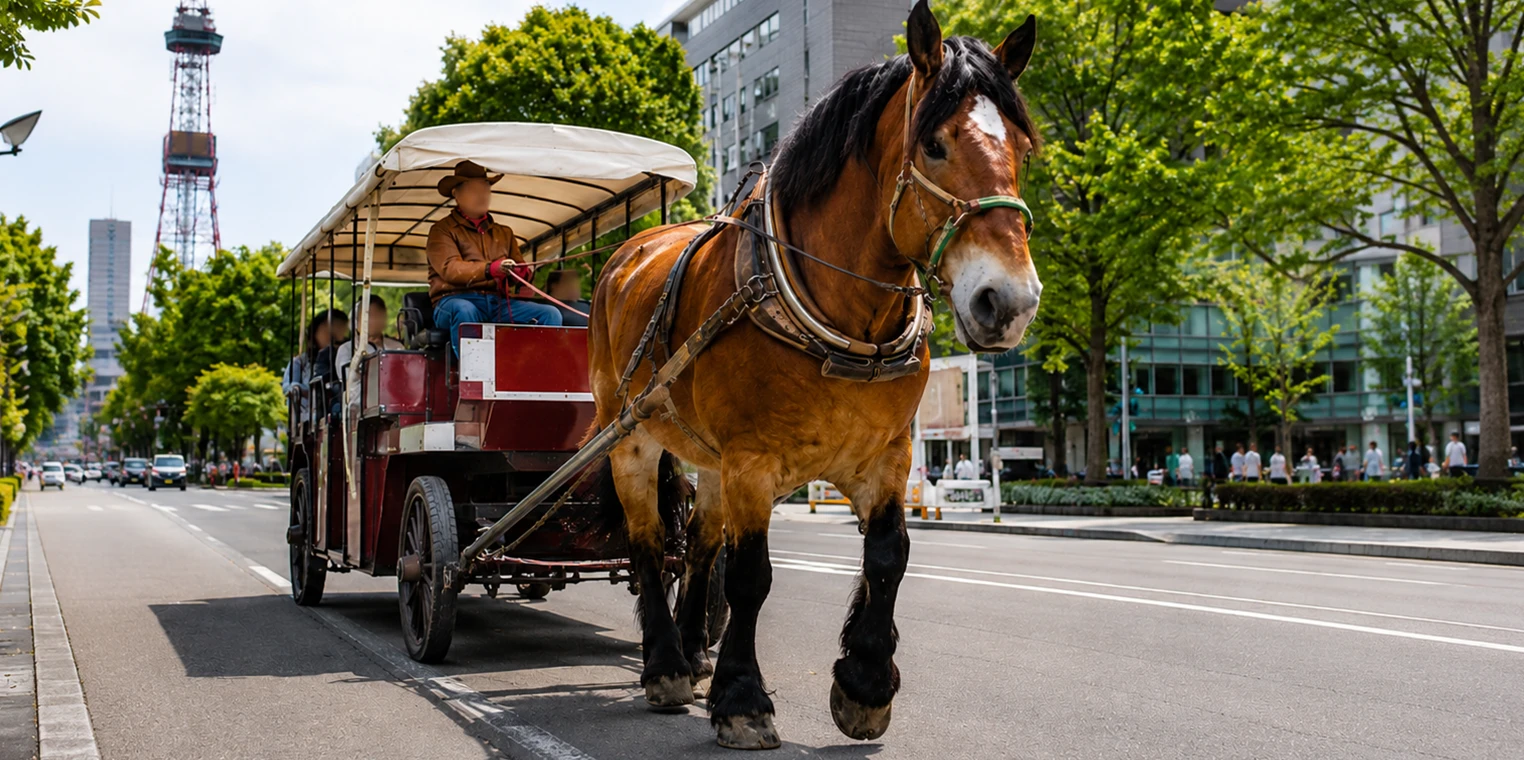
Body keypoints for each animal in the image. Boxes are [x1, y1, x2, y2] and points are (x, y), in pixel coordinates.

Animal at [587, 0, 1042, 749]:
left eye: (1023, 151)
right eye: (935, 145)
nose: (1009, 301)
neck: (842, 318)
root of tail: (627, 254)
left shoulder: (886, 457)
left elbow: (889, 554)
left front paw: (864, 683)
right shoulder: (751, 461)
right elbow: (750, 576)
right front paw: (743, 699)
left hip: (705, 457)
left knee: (700, 548)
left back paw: (694, 651)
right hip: (629, 437)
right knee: (650, 545)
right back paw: (666, 665)